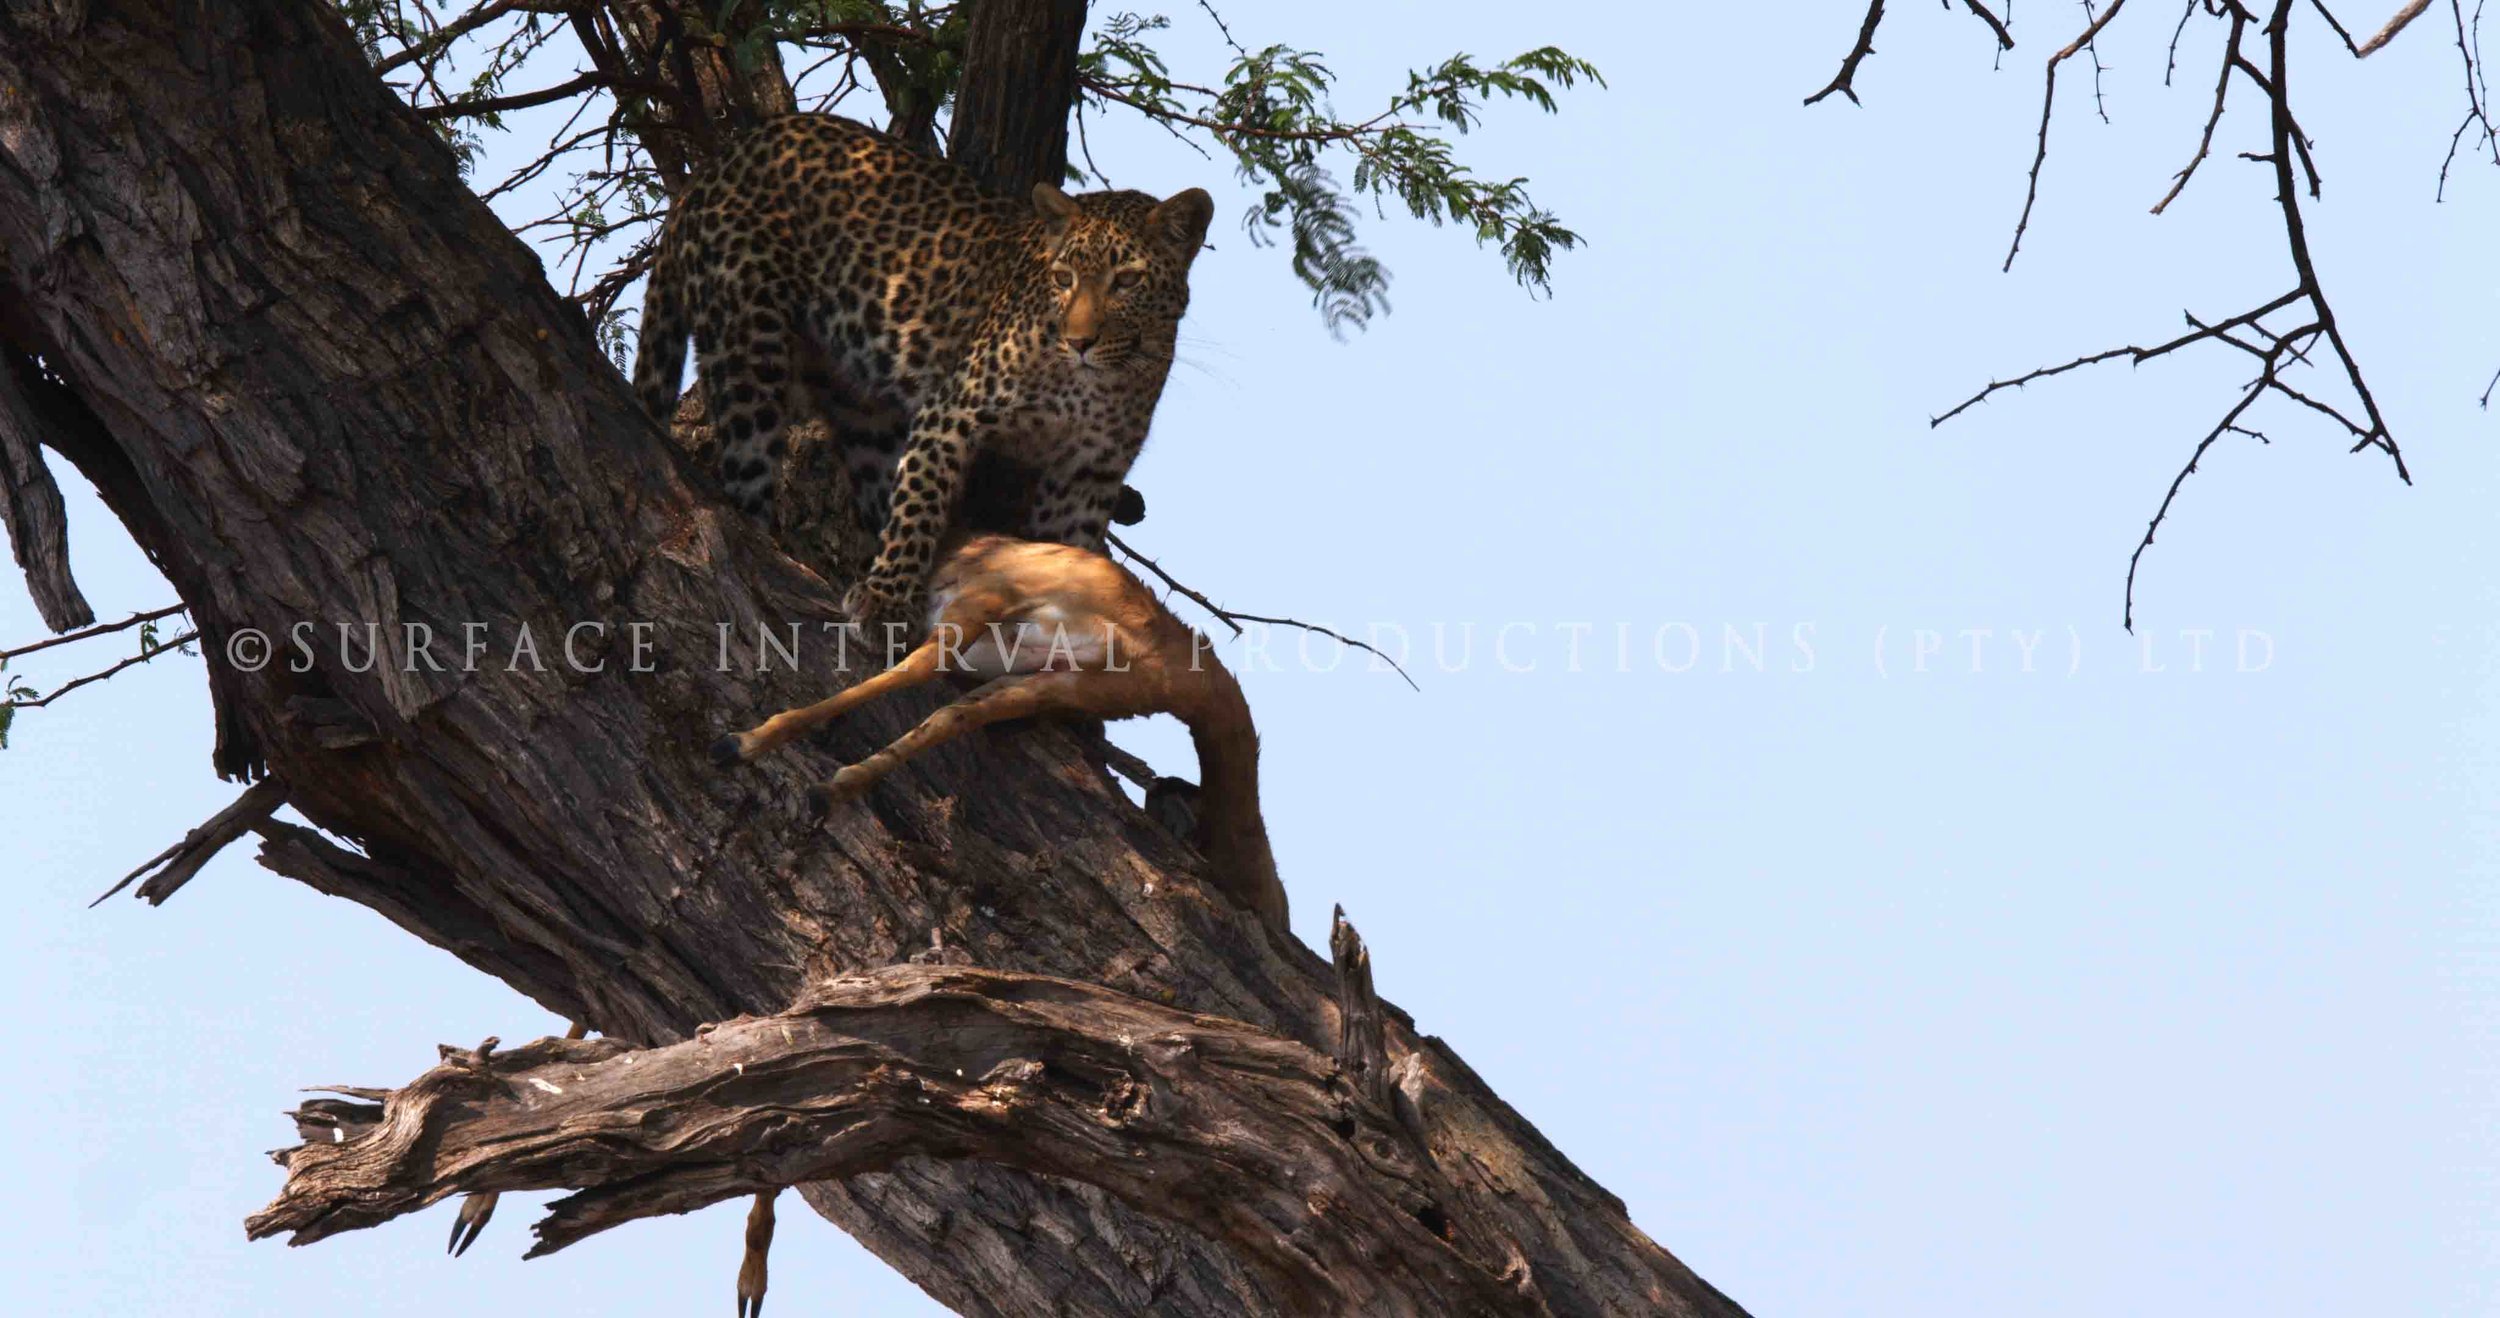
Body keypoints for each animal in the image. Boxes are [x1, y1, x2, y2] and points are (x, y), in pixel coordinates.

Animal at [631, 112, 1214, 624]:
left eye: (1127, 281)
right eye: (1064, 278)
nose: (1080, 342)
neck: (1091, 387)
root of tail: (716, 165)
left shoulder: (1087, 473)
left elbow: (1068, 553)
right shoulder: (952, 414)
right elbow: (919, 505)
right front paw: (886, 600)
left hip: (861, 409)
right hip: (749, 350)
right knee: (746, 482)